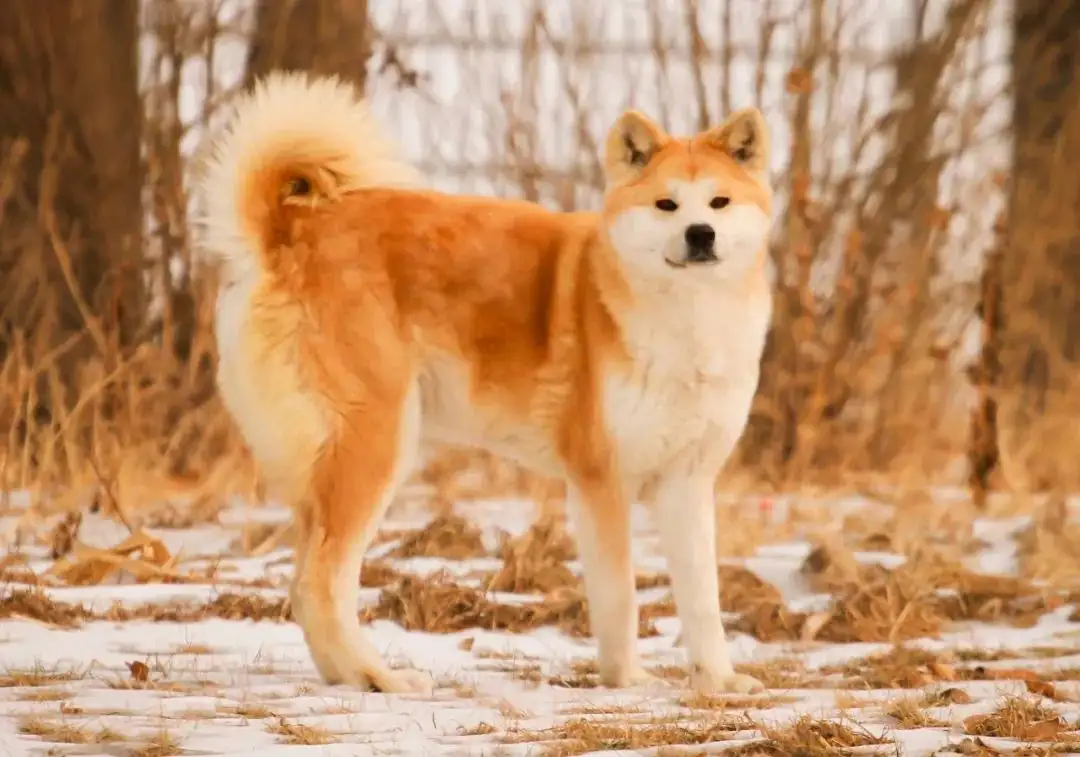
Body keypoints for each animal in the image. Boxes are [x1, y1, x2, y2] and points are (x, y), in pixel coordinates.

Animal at [198, 73, 777, 695]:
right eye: (666, 204)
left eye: (719, 202)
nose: (700, 234)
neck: (684, 320)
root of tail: (286, 233)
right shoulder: (600, 482)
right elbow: (619, 599)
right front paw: (628, 680)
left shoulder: (687, 484)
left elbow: (703, 601)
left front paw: (719, 680)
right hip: (374, 446)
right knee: (321, 585)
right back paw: (384, 678)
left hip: (332, 470)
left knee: (306, 585)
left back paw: (350, 677)